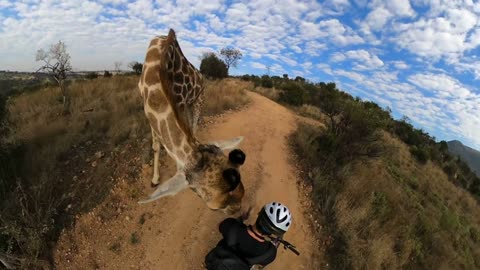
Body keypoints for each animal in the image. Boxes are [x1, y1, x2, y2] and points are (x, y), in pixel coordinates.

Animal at [137, 28, 246, 213]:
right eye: (215, 207)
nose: (241, 211)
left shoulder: (180, 102)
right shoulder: (148, 111)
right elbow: (156, 146)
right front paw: (154, 179)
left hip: (198, 100)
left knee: (193, 126)